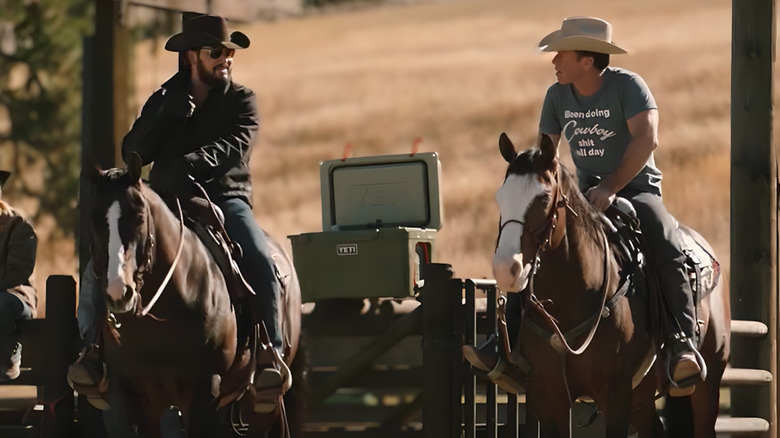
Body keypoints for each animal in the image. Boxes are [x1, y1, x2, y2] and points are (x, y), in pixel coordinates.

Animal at [85, 162, 304, 438]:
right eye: (94, 218)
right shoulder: (129, 398)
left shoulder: (203, 394)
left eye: (139, 217)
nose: (118, 292)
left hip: (259, 405)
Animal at [494, 134, 732, 438]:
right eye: (500, 197)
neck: (570, 301)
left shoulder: (616, 392)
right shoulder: (547, 396)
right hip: (642, 400)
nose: (506, 269)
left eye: (544, 197)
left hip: (708, 382)